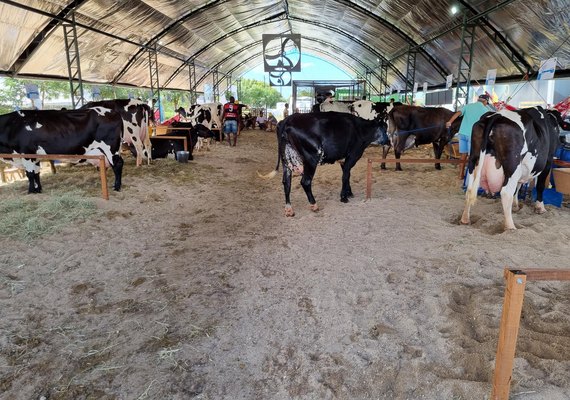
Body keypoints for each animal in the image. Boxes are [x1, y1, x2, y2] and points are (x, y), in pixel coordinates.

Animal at [258, 111, 388, 217]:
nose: (388, 141)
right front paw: (344, 197)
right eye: (384, 128)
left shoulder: (343, 159)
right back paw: (314, 205)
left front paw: (349, 193)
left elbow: (347, 175)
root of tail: (288, 119)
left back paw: (289, 209)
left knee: (286, 182)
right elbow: (345, 175)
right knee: (305, 182)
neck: (361, 129)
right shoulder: (353, 155)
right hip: (311, 158)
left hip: (287, 160)